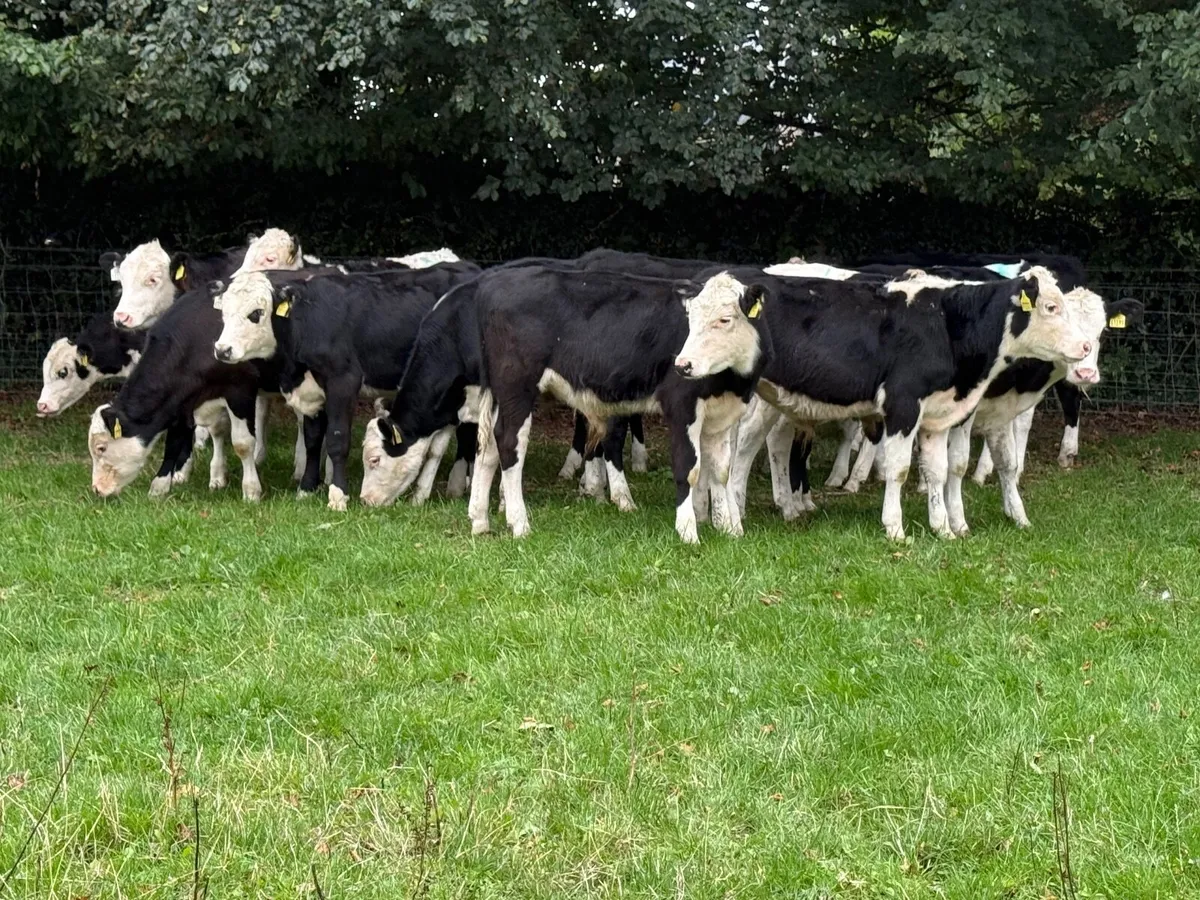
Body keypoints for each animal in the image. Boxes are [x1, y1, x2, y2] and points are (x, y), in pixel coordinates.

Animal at [210, 263, 481, 509]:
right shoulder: (312, 393)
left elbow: (337, 439)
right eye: (223, 313)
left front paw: (338, 495)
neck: (307, 321)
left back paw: (458, 483)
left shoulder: (342, 382)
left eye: (256, 313)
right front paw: (307, 488)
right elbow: (312, 439)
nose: (222, 350)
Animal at [463, 265, 769, 543]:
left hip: (499, 392)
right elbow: (688, 468)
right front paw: (688, 532)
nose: (683, 364)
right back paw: (519, 523)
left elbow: (721, 471)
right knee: (509, 443)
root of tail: (494, 280)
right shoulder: (682, 406)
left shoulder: (723, 415)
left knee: (488, 448)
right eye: (690, 319)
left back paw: (480, 521)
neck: (732, 380)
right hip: (517, 387)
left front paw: (730, 530)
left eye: (725, 320)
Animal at [713, 267, 1099, 539]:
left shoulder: (942, 414)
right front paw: (896, 528)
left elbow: (941, 468)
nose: (1084, 350)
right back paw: (737, 514)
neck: (946, 324)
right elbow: (901, 469)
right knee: (743, 450)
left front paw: (944, 528)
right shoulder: (904, 404)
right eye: (1051, 307)